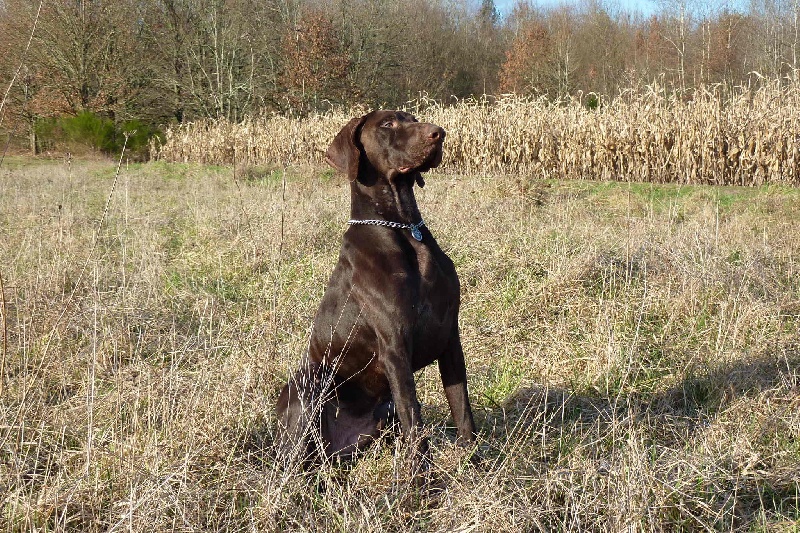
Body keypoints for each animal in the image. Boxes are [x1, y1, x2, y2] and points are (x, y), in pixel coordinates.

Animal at [276, 110, 476, 472]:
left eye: (413, 117)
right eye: (387, 124)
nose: (439, 133)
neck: (404, 228)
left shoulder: (450, 339)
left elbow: (463, 412)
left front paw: (476, 467)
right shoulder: (394, 348)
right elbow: (416, 426)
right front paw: (423, 484)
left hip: (382, 411)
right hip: (308, 388)